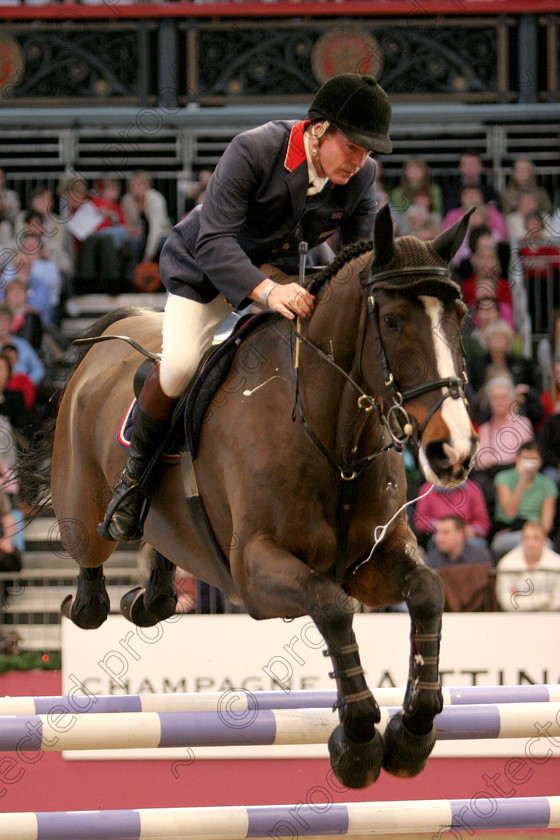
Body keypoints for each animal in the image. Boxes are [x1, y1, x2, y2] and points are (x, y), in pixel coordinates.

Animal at [41, 203, 476, 788]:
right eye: (392, 321)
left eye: (459, 318)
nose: (454, 449)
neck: (329, 429)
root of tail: (117, 328)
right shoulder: (253, 569)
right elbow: (330, 605)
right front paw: (358, 741)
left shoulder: (372, 561)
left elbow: (427, 590)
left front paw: (413, 731)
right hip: (81, 508)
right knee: (89, 558)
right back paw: (90, 592)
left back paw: (150, 597)